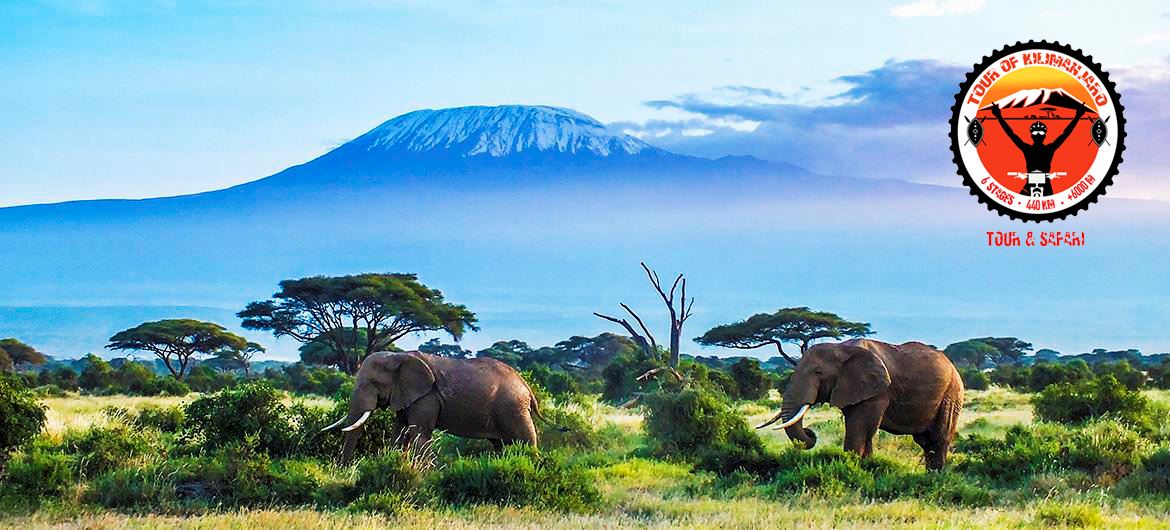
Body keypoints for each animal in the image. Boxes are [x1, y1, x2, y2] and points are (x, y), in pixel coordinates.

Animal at [322, 350, 545, 463]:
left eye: (373, 383)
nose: (344, 469)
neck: (397, 356)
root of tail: (526, 386)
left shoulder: (426, 397)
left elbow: (419, 434)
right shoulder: (406, 396)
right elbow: (399, 433)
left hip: (513, 408)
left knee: (525, 441)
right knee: (501, 445)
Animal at [753, 336, 964, 467]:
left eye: (818, 372)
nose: (810, 432)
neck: (841, 347)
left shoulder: (878, 391)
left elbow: (861, 428)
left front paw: (852, 468)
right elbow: (863, 431)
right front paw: (866, 467)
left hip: (951, 394)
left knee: (939, 438)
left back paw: (935, 477)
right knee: (925, 441)